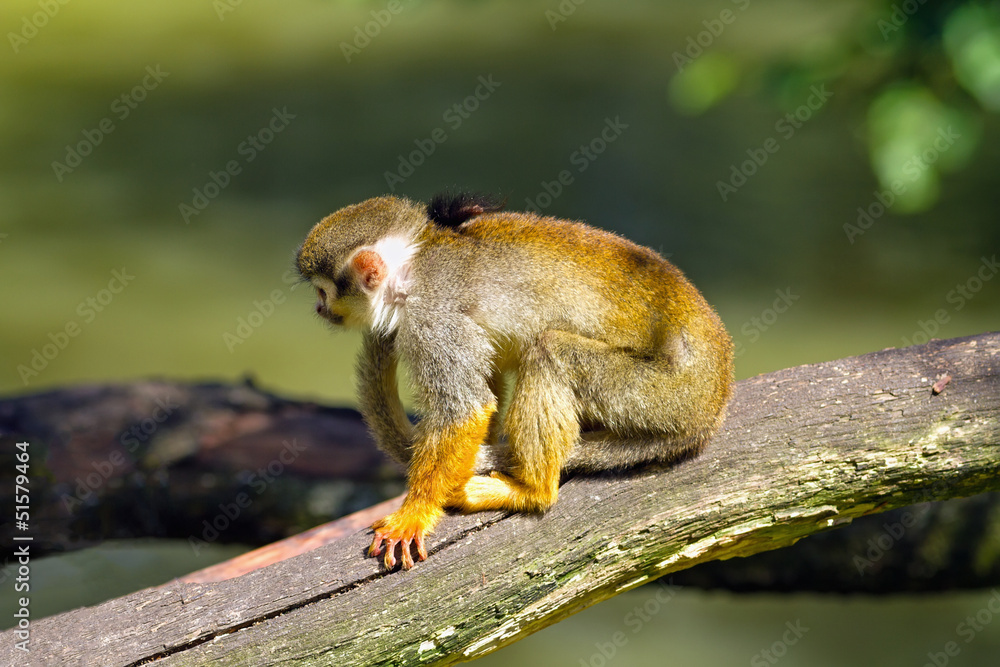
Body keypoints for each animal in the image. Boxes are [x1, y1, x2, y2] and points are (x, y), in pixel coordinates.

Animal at [296, 194, 733, 570]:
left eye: (323, 291)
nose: (318, 308)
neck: (412, 269)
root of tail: (713, 404)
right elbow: (484, 386)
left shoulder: (430, 315)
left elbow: (465, 408)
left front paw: (415, 512)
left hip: (661, 393)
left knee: (548, 351)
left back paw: (532, 490)